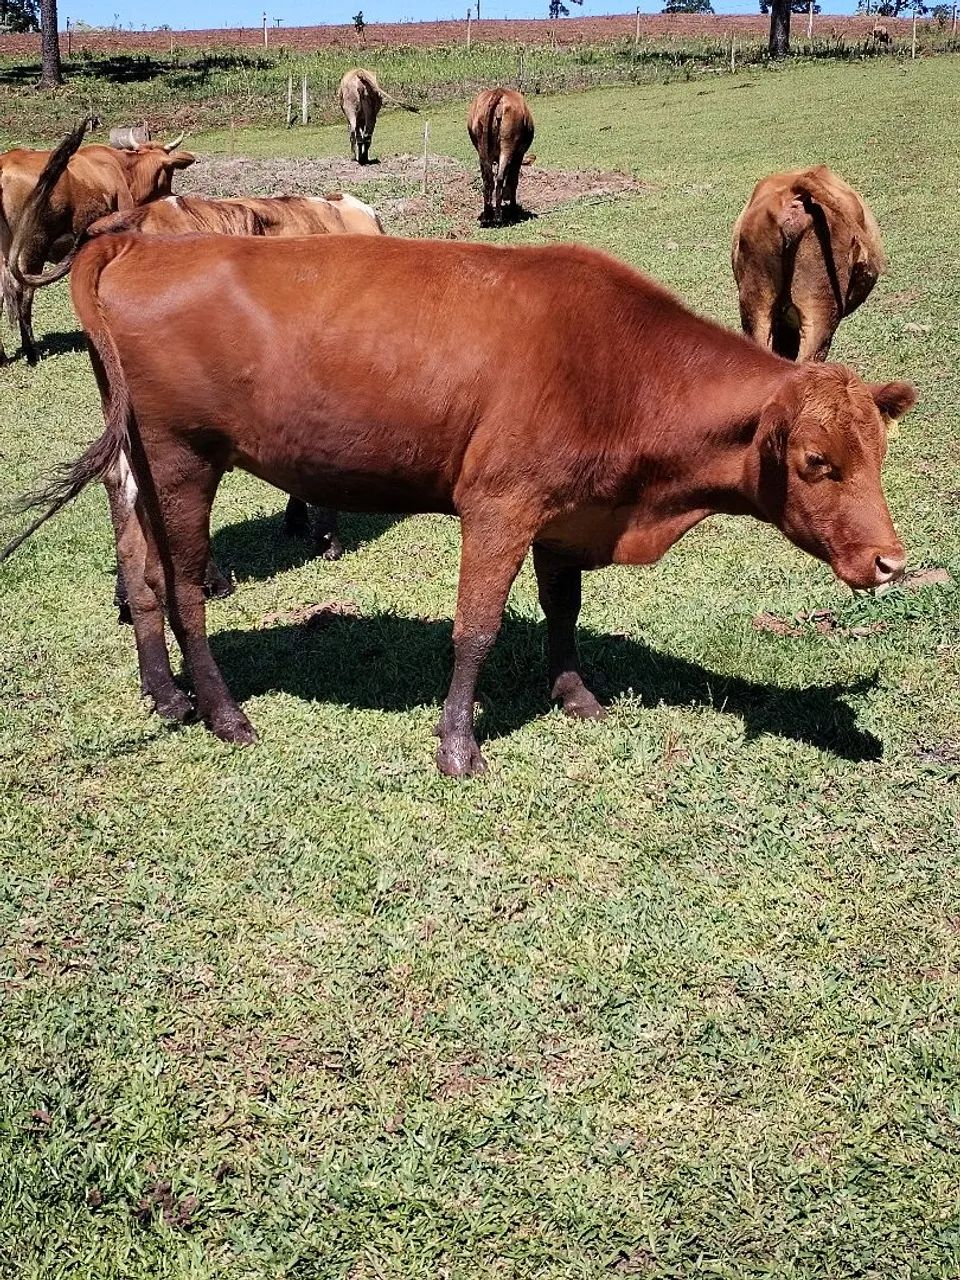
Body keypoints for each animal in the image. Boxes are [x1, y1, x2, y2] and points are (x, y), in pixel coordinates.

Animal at [0, 117, 194, 364]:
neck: (125, 172)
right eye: (170, 172)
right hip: (33, 246)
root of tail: (5, 163)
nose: (172, 195)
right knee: (23, 290)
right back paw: (30, 349)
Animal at [2, 235, 915, 777]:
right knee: (187, 585)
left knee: (141, 571)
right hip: (182, 457)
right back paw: (224, 714)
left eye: (880, 453)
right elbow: (475, 629)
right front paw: (458, 742)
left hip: (137, 463)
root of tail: (142, 238)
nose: (891, 562)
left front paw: (575, 694)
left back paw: (167, 694)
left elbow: (562, 608)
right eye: (816, 462)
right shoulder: (499, 503)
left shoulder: (564, 510)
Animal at [467, 89, 535, 228]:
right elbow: (513, 180)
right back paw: (499, 217)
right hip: (507, 145)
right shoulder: (519, 155)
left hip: (482, 149)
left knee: (488, 180)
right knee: (499, 178)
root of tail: (498, 92)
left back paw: (487, 217)